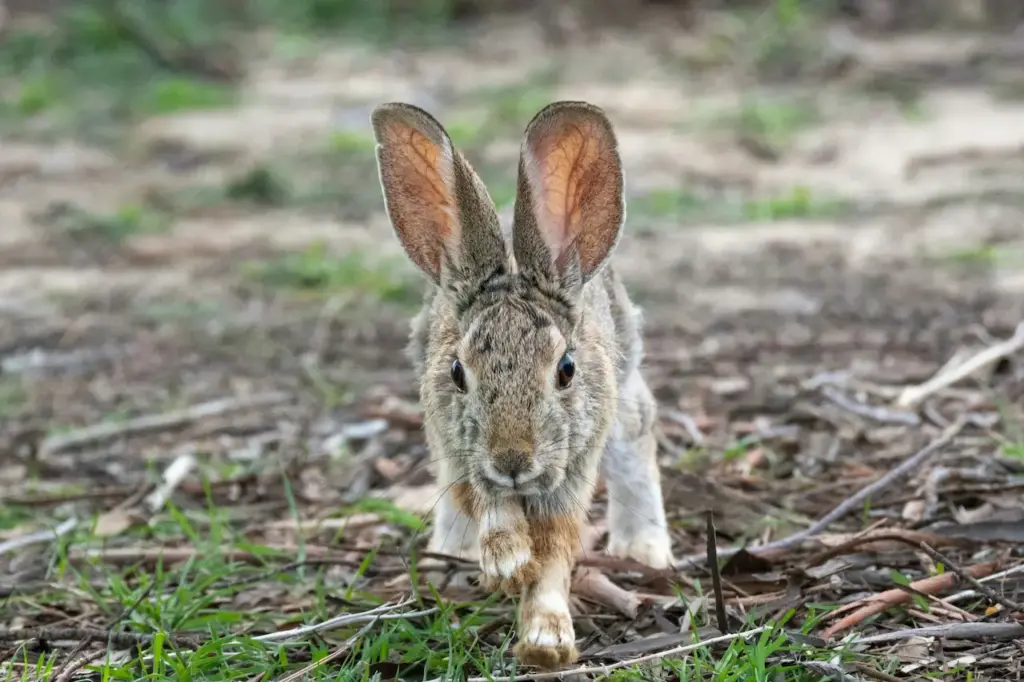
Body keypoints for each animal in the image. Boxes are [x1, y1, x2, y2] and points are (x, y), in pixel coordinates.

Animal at [372, 100, 675, 667]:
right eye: (457, 372)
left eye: (567, 369)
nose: (513, 460)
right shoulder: (461, 451)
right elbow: (486, 503)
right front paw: (507, 561)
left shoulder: (572, 470)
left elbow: (556, 550)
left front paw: (545, 640)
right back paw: (450, 555)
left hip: (623, 407)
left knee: (639, 438)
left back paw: (644, 551)